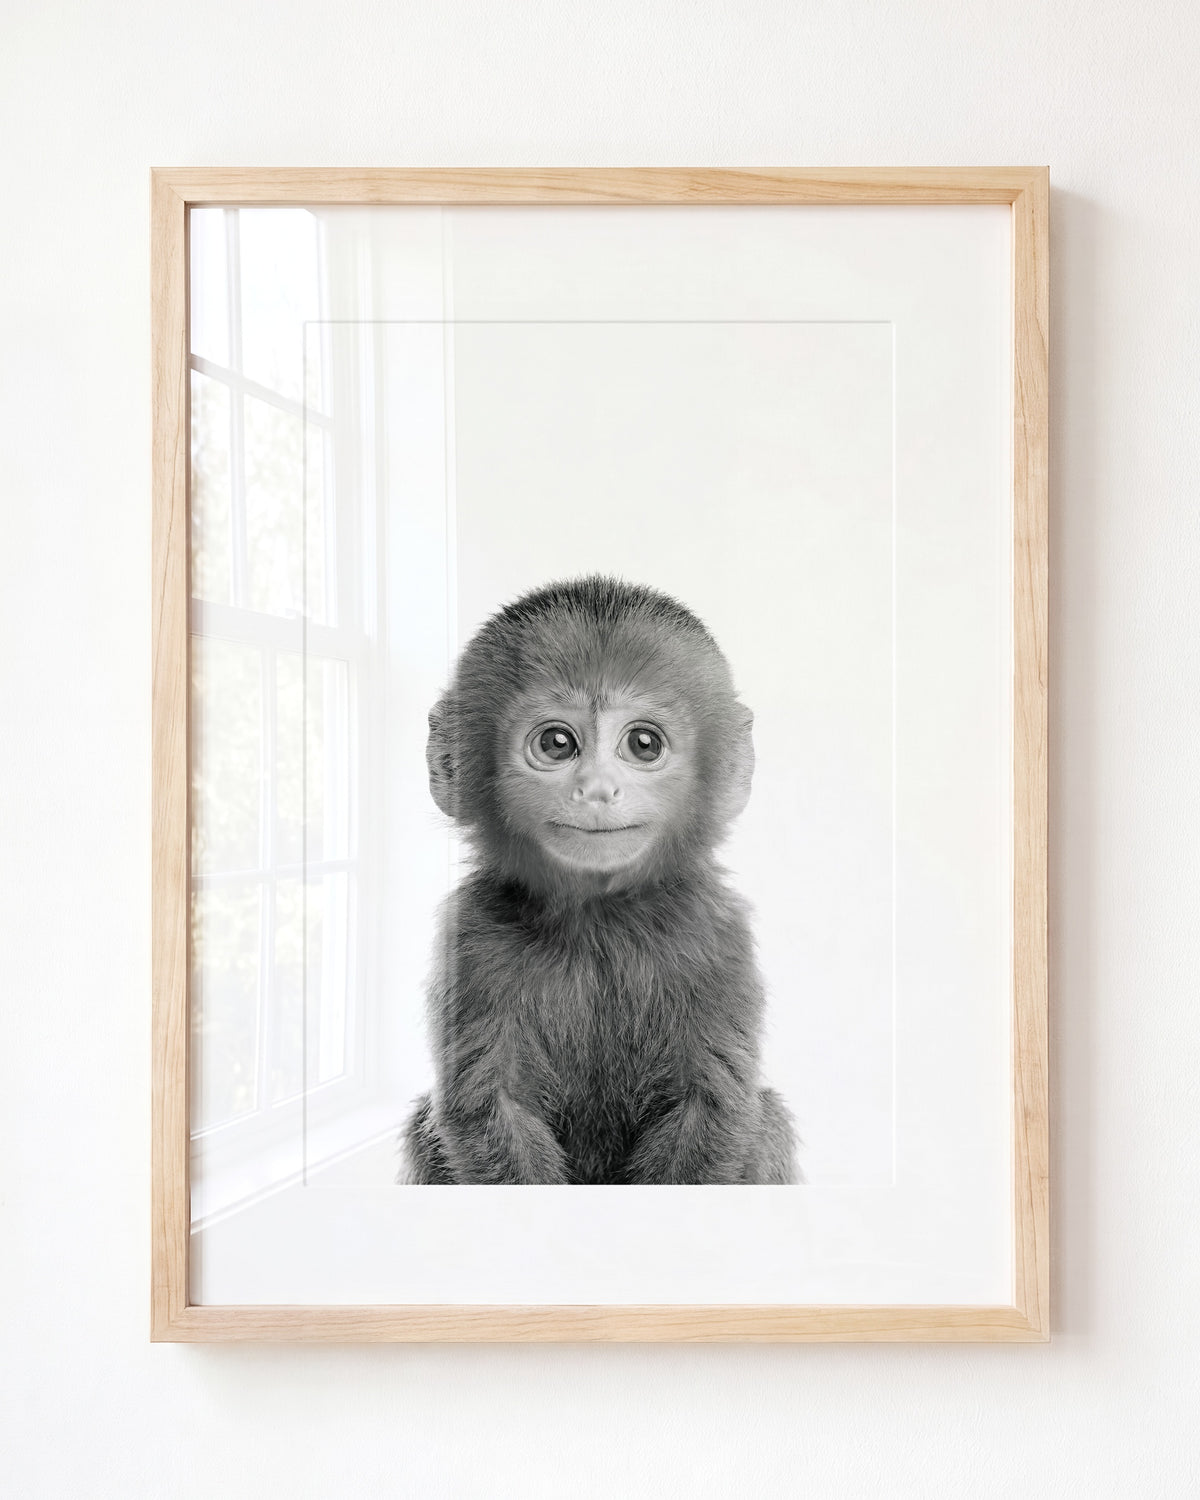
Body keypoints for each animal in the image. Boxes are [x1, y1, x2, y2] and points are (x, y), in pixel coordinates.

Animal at [399, 575, 796, 1185]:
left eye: (643, 744)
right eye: (557, 744)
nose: (597, 789)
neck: (599, 920)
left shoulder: (717, 933)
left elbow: (710, 1106)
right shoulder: (470, 939)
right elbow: (489, 1108)